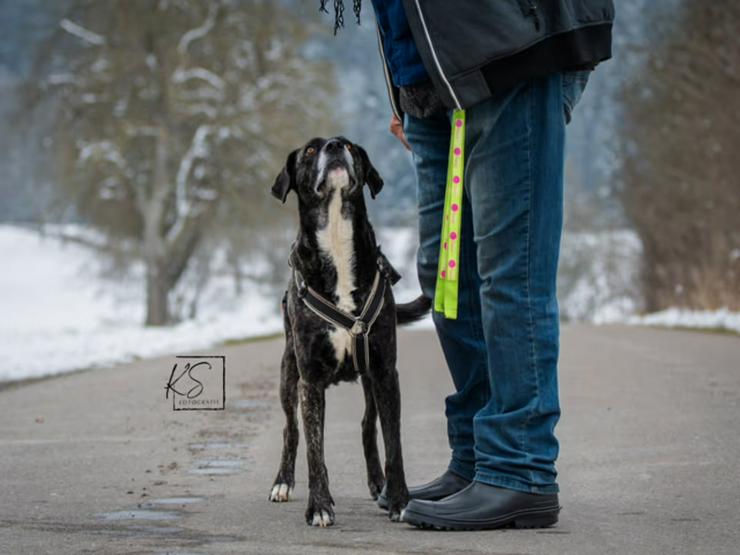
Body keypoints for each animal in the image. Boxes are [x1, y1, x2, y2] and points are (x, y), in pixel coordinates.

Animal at [268, 137, 428, 528]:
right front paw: (320, 506)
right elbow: (314, 449)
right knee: (292, 429)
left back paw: (377, 484)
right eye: (310, 151)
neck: (337, 238)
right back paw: (283, 481)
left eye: (352, 147)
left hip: (369, 381)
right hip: (288, 373)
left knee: (368, 425)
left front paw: (400, 500)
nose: (333, 145)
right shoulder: (310, 379)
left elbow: (394, 443)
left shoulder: (385, 373)